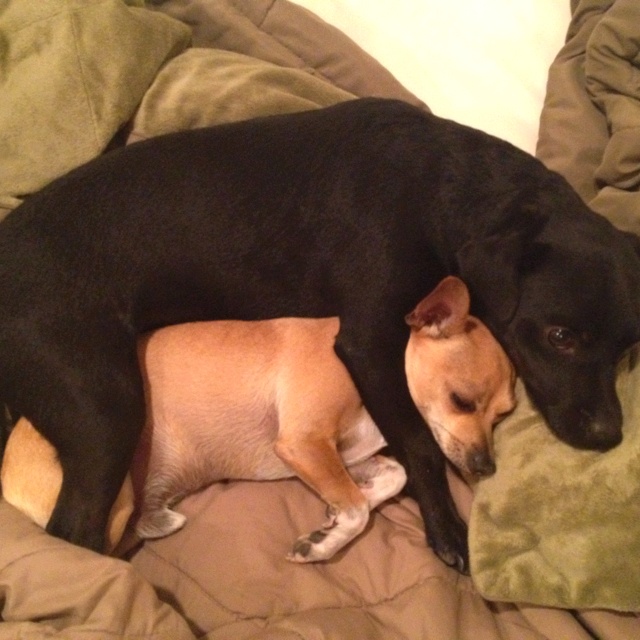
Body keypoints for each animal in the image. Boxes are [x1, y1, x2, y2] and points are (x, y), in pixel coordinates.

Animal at [0, 276, 516, 560]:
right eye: (461, 400)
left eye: (502, 415)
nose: (487, 467)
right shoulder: (304, 444)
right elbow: (358, 508)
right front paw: (323, 543)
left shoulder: (343, 454)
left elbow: (389, 475)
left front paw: (333, 515)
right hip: (114, 485)